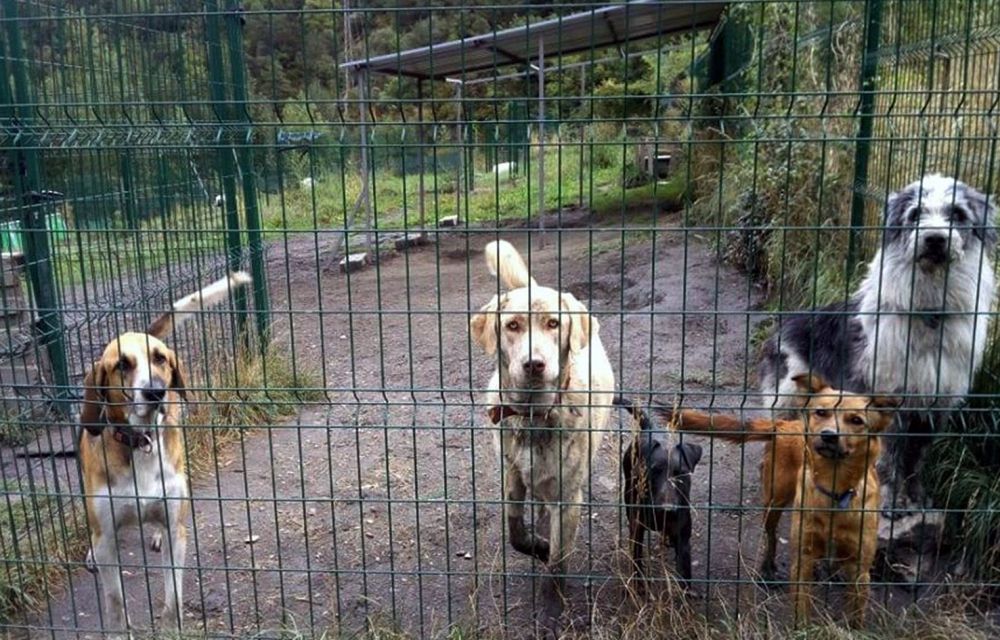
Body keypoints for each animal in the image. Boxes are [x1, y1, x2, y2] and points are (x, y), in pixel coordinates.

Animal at [78, 271, 251, 635]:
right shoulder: (107, 538)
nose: (156, 392)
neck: (141, 441)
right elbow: (115, 602)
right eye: (122, 365)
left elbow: (173, 596)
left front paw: (172, 628)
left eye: (160, 358)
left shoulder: (176, 531)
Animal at [469, 239, 614, 633]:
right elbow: (515, 530)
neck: (534, 414)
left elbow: (558, 563)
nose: (534, 364)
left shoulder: (568, 498)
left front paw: (551, 610)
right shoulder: (511, 475)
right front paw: (536, 545)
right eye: (512, 325)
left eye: (553, 324)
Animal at [616, 398, 702, 591]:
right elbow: (636, 558)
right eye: (654, 471)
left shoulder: (683, 539)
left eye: (680, 473)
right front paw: (638, 584)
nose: (668, 510)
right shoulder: (637, 531)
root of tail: (650, 427)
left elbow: (684, 570)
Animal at [656, 375, 899, 626]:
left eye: (856, 420)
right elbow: (802, 607)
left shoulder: (861, 570)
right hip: (774, 501)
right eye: (821, 412)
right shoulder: (802, 558)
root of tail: (785, 425)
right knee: (770, 537)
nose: (829, 435)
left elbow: (856, 615)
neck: (834, 489)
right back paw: (768, 571)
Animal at [758, 174, 996, 542]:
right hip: (786, 396)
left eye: (958, 214)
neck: (929, 313)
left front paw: (917, 500)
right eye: (915, 214)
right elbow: (890, 462)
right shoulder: (889, 401)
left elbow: (916, 461)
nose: (935, 239)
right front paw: (893, 505)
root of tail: (784, 323)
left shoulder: (934, 406)